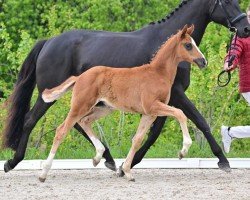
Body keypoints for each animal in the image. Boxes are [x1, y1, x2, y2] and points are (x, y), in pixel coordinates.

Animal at [39, 24, 207, 181]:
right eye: (188, 45)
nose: (203, 61)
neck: (158, 74)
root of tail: (79, 77)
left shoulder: (149, 114)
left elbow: (137, 140)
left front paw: (126, 171)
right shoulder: (153, 106)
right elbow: (180, 113)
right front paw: (183, 150)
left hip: (104, 108)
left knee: (84, 121)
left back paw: (98, 156)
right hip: (80, 105)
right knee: (62, 130)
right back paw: (43, 173)